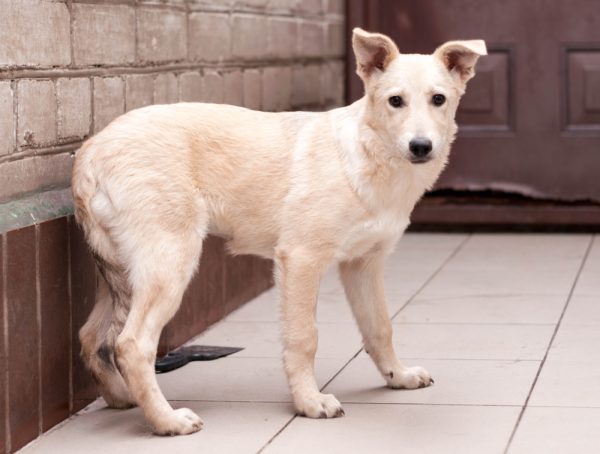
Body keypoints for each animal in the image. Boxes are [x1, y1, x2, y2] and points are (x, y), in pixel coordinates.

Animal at [71, 26, 482, 434]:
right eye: (395, 101)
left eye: (439, 99)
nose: (421, 146)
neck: (368, 155)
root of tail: (90, 150)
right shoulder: (300, 259)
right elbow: (304, 338)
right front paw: (309, 402)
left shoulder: (363, 264)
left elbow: (380, 327)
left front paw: (398, 376)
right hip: (169, 262)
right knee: (131, 344)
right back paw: (166, 420)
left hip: (122, 272)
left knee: (92, 336)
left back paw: (124, 398)